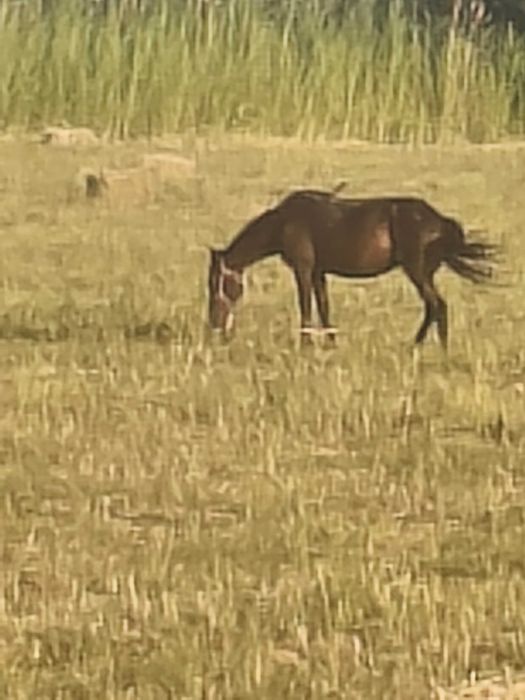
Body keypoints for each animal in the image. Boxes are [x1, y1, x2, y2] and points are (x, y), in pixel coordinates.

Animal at [207, 188, 497, 348]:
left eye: (216, 284)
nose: (215, 326)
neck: (284, 221)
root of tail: (438, 220)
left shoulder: (303, 269)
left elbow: (306, 306)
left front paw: (306, 345)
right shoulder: (318, 272)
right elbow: (323, 306)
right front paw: (330, 343)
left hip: (416, 271)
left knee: (437, 306)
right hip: (424, 273)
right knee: (435, 307)